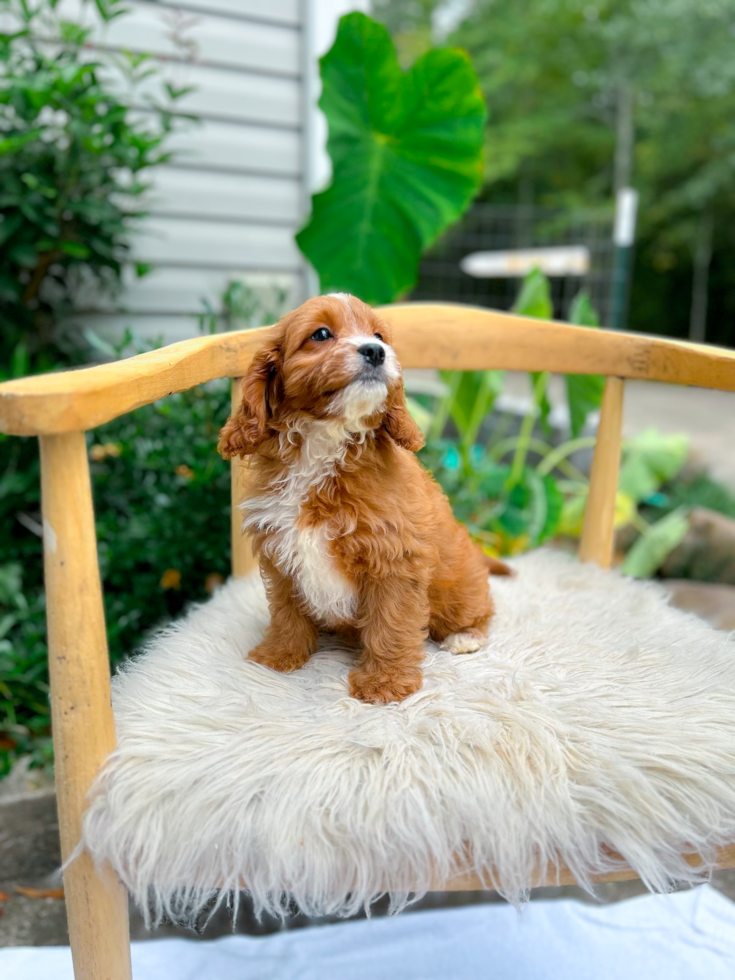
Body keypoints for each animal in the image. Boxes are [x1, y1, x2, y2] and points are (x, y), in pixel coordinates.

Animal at [216, 292, 508, 704]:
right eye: (321, 334)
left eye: (379, 335)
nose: (375, 351)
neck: (325, 441)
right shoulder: (280, 552)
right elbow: (286, 611)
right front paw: (279, 656)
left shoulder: (395, 558)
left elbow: (390, 623)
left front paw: (385, 683)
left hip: (459, 588)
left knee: (481, 610)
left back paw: (465, 636)